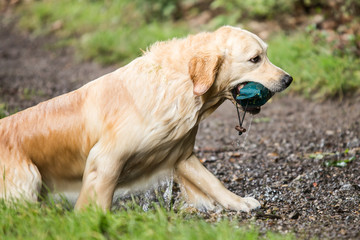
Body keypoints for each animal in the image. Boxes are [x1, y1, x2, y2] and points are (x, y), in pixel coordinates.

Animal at [0, 25, 292, 211]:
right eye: (255, 59)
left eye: (266, 54)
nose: (289, 79)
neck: (180, 85)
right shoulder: (105, 160)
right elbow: (98, 202)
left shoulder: (181, 154)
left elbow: (212, 182)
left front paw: (240, 203)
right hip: (28, 179)